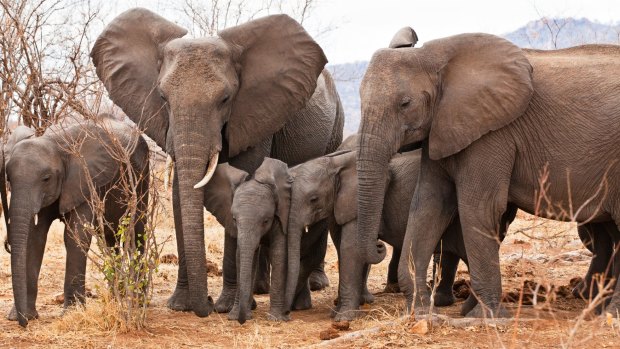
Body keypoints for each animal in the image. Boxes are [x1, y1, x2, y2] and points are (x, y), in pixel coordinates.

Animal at [1, 115, 149, 326]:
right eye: (9, 180)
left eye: (46, 178)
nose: (23, 324)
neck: (56, 144)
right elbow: (35, 238)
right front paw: (22, 315)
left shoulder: (86, 179)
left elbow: (75, 236)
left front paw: (72, 313)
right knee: (110, 238)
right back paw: (116, 299)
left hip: (142, 179)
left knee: (137, 232)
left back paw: (136, 302)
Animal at [91, 7, 342, 316]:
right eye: (162, 97)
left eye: (225, 99)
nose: (207, 304)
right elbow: (180, 195)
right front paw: (181, 306)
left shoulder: (254, 115)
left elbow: (242, 186)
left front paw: (225, 307)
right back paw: (260, 289)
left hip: (336, 127)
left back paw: (310, 286)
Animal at [356, 25, 620, 316]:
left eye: (405, 103)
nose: (378, 246)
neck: (434, 56)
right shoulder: (443, 127)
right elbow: (428, 203)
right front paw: (421, 312)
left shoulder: (492, 133)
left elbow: (479, 206)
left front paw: (486, 317)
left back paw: (608, 313)